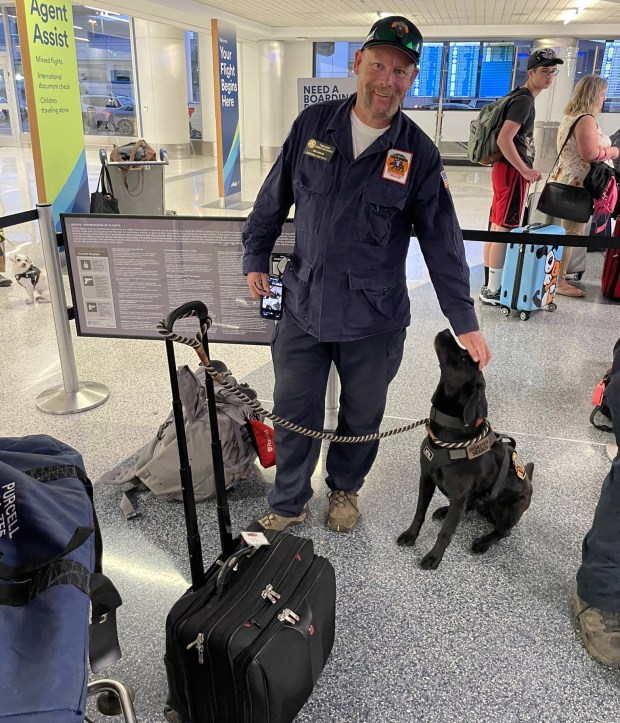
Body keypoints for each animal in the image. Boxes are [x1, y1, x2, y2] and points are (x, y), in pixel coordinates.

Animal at [398, 330, 532, 572]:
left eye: (462, 358)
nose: (446, 331)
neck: (449, 432)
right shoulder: (426, 478)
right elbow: (419, 511)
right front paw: (411, 535)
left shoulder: (459, 495)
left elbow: (445, 533)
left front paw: (434, 557)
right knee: (468, 508)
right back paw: (444, 510)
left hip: (508, 510)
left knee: (503, 531)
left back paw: (483, 541)